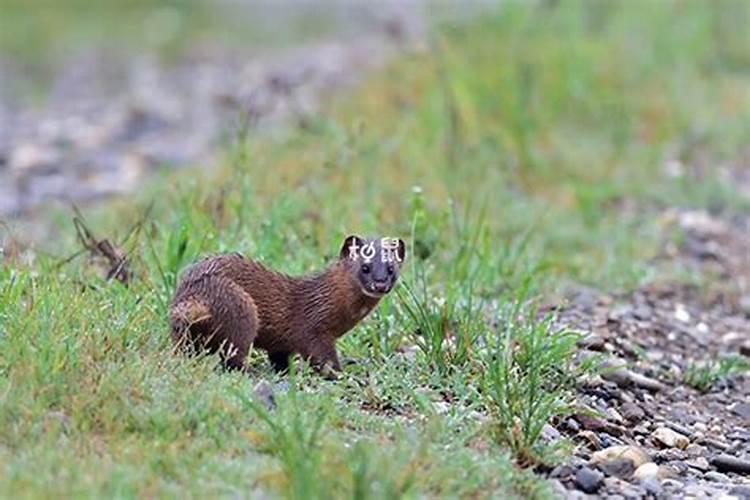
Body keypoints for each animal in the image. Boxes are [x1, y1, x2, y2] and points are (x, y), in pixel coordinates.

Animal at [168, 236, 408, 374]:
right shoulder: (314, 329)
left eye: (391, 269)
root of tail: (196, 295)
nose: (380, 283)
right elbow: (321, 356)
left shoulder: (282, 344)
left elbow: (280, 357)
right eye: (365, 267)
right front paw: (340, 373)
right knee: (234, 353)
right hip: (242, 308)